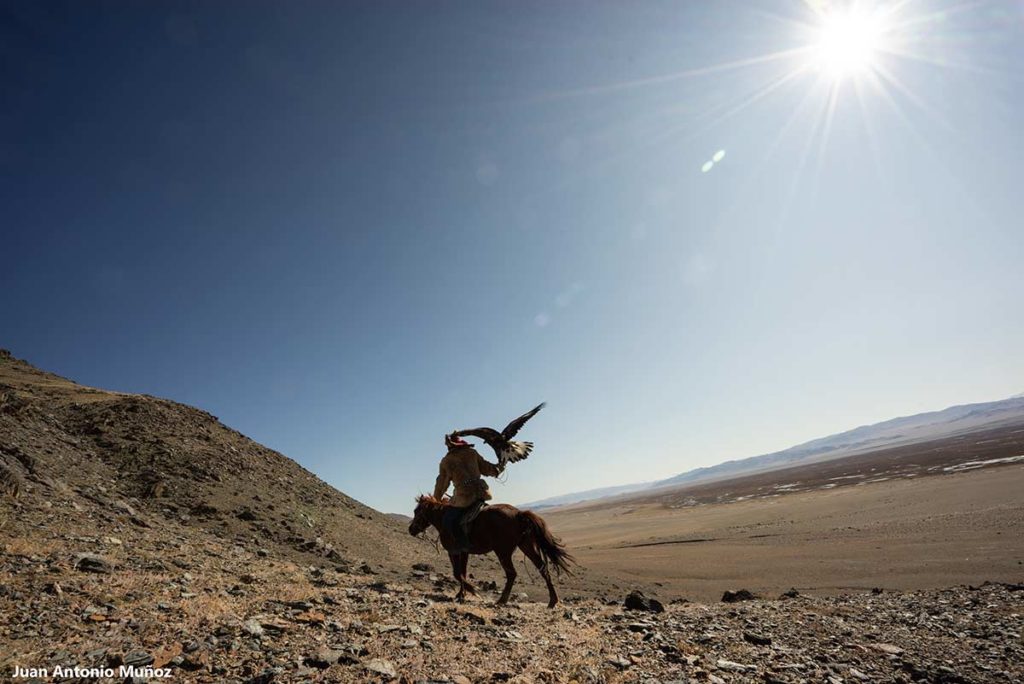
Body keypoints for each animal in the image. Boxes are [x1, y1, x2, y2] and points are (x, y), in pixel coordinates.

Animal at [407, 493, 577, 606]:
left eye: (416, 511)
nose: (411, 529)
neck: (443, 518)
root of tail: (519, 514)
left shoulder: (453, 551)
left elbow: (457, 573)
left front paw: (472, 590)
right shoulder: (464, 552)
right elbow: (462, 573)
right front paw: (461, 595)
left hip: (503, 551)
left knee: (512, 574)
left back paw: (501, 600)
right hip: (527, 546)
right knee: (543, 569)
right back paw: (552, 601)